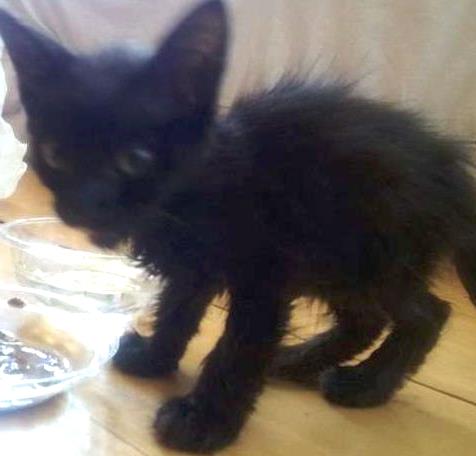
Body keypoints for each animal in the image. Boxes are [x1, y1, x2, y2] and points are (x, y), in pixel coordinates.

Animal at [1, 1, 476, 452]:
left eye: (135, 159)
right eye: (56, 154)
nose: (85, 204)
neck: (193, 192)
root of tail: (452, 168)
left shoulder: (265, 278)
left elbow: (237, 350)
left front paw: (204, 420)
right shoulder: (192, 268)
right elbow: (177, 311)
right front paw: (155, 358)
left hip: (373, 252)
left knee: (427, 313)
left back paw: (366, 384)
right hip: (336, 261)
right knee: (366, 319)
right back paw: (300, 360)